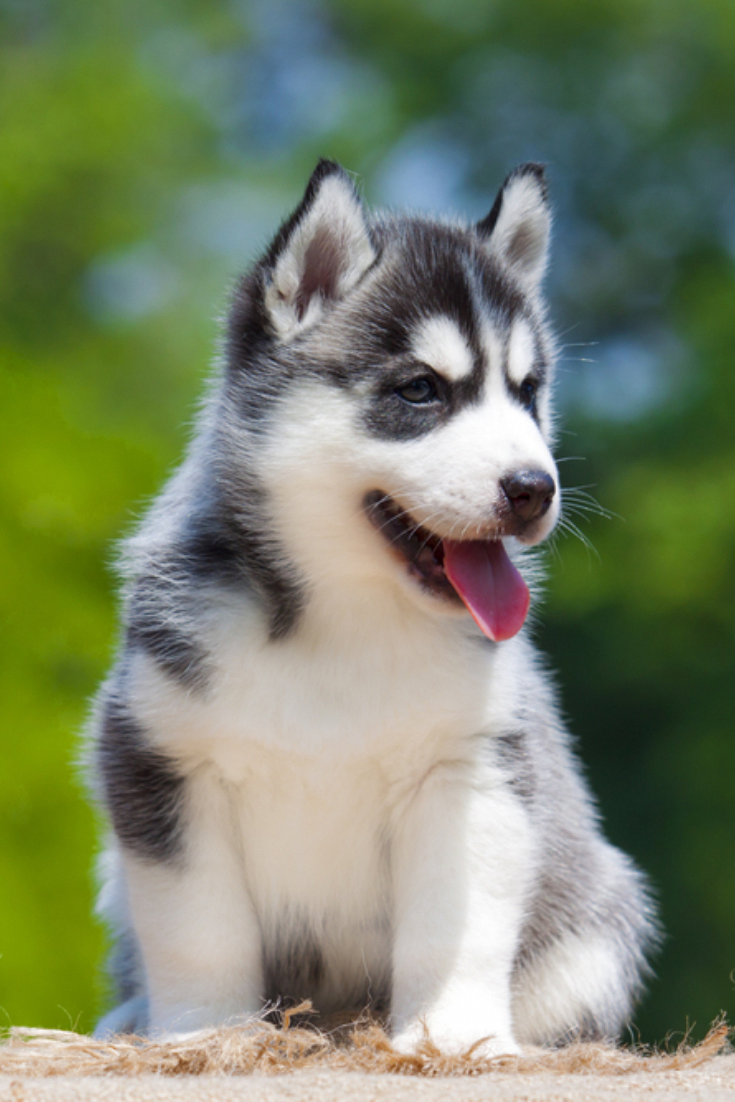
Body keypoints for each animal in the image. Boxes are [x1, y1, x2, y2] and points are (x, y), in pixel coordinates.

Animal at [89, 160, 656, 1049]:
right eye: (420, 390)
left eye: (526, 392)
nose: (534, 488)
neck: (341, 623)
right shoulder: (157, 757)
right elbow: (196, 932)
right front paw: (206, 1036)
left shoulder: (471, 770)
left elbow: (454, 930)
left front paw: (452, 1038)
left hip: (597, 923)